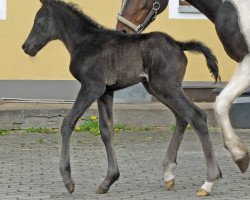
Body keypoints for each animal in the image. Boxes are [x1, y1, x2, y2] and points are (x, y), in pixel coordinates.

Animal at [21, 0, 221, 196]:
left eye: (39, 23)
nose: (26, 47)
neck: (85, 42)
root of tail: (179, 44)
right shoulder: (105, 92)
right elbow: (106, 130)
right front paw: (108, 180)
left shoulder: (91, 87)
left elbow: (68, 123)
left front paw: (68, 181)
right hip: (157, 88)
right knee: (182, 117)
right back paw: (169, 174)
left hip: (166, 87)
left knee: (197, 116)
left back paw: (209, 181)